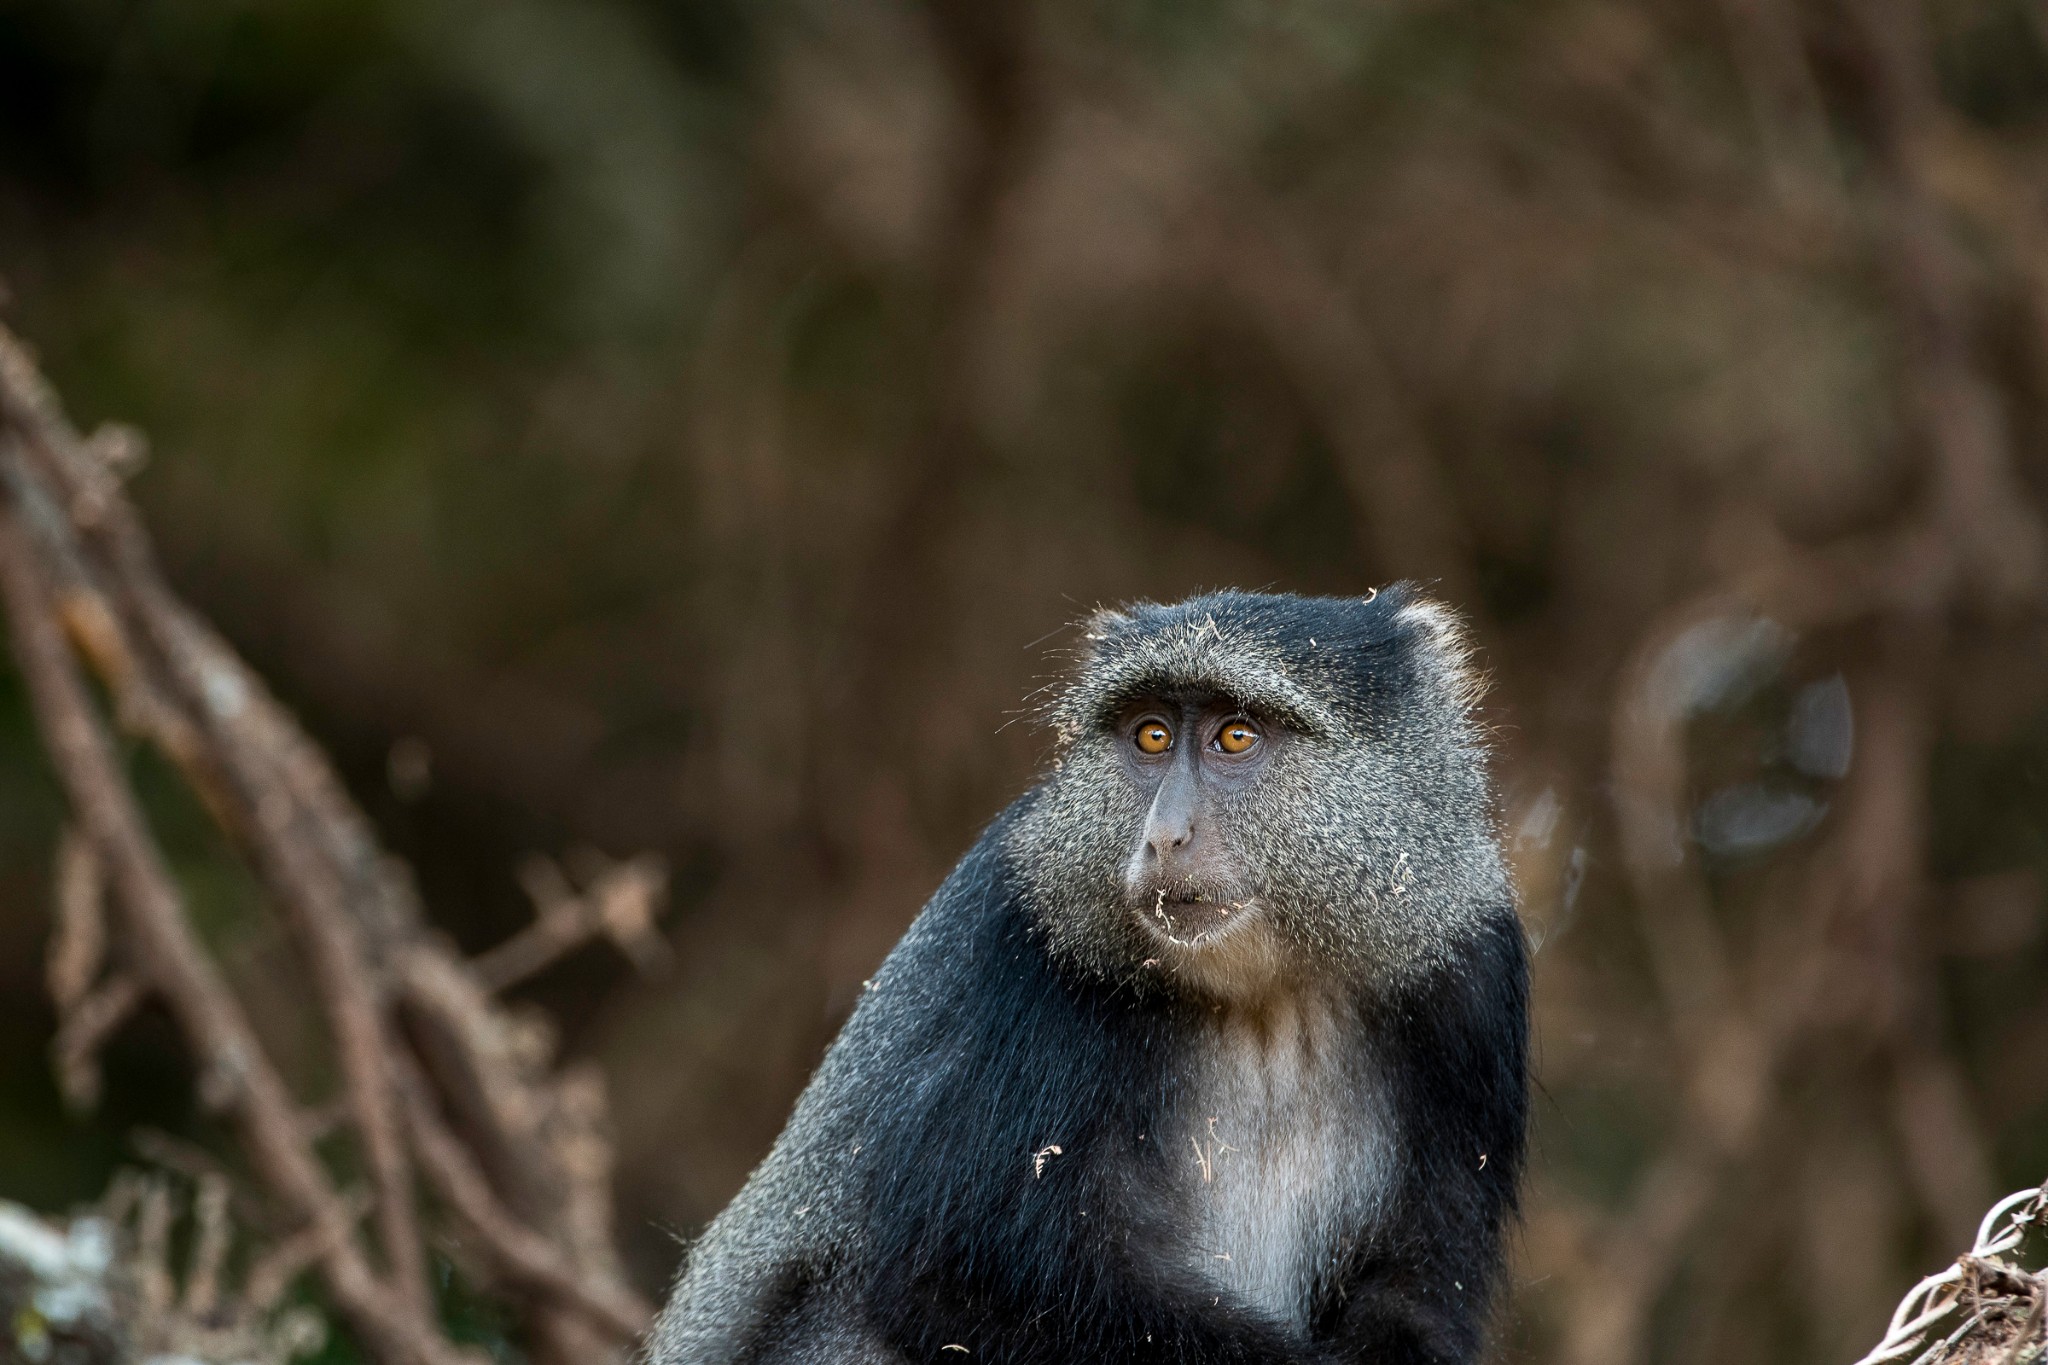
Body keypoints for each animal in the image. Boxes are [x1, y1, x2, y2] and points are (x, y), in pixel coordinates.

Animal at [647, 589, 1531, 1365]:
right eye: (1151, 736)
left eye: (1234, 737)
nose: (1164, 836)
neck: (1266, 995)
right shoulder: (1020, 949)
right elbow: (951, 1281)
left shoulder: (1475, 979)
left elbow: (1419, 1287)